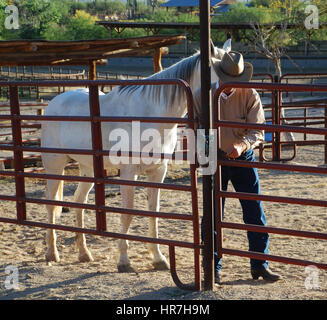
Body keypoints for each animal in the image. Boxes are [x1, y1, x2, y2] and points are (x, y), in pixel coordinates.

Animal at [41, 38, 232, 272]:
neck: (150, 116)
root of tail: (54, 103)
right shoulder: (129, 173)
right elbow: (129, 212)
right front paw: (124, 261)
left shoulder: (158, 171)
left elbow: (154, 212)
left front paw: (158, 258)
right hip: (55, 166)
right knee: (51, 204)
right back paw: (52, 253)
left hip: (89, 168)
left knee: (79, 201)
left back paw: (84, 253)